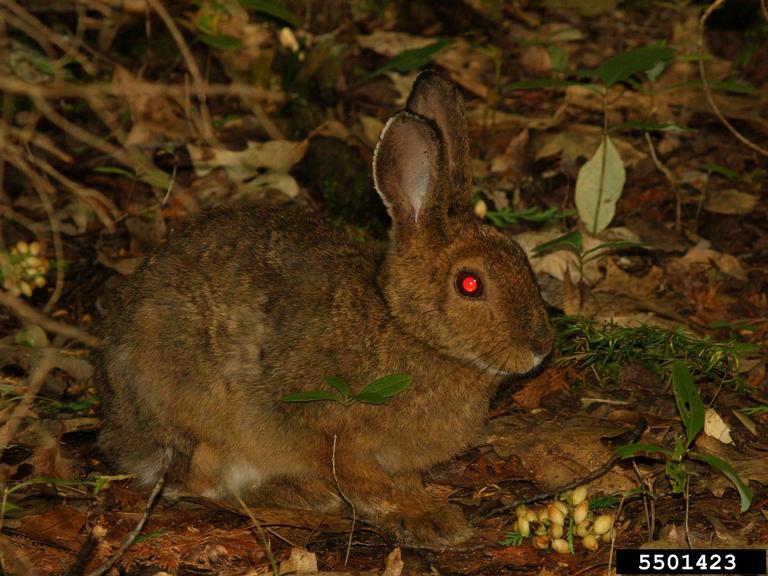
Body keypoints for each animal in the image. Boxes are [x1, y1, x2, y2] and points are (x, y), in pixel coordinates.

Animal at [96, 70, 553, 546]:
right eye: (469, 284)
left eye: (521, 256)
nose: (540, 346)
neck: (403, 327)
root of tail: (120, 427)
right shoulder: (334, 429)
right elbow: (365, 482)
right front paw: (426, 520)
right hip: (206, 422)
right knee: (198, 487)